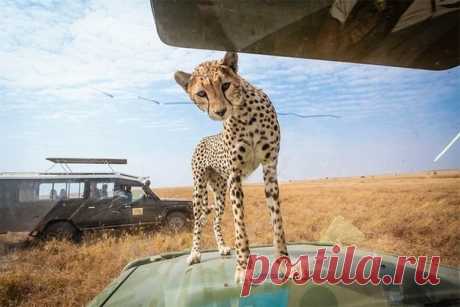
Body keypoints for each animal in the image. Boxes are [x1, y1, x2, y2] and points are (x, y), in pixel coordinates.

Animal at [175, 51, 288, 284]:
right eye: (202, 93)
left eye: (225, 85)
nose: (220, 111)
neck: (245, 115)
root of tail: (203, 139)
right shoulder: (235, 176)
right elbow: (239, 227)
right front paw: (243, 267)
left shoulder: (270, 168)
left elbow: (277, 223)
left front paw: (284, 263)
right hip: (199, 190)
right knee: (198, 222)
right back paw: (195, 253)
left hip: (219, 194)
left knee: (215, 221)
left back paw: (221, 248)